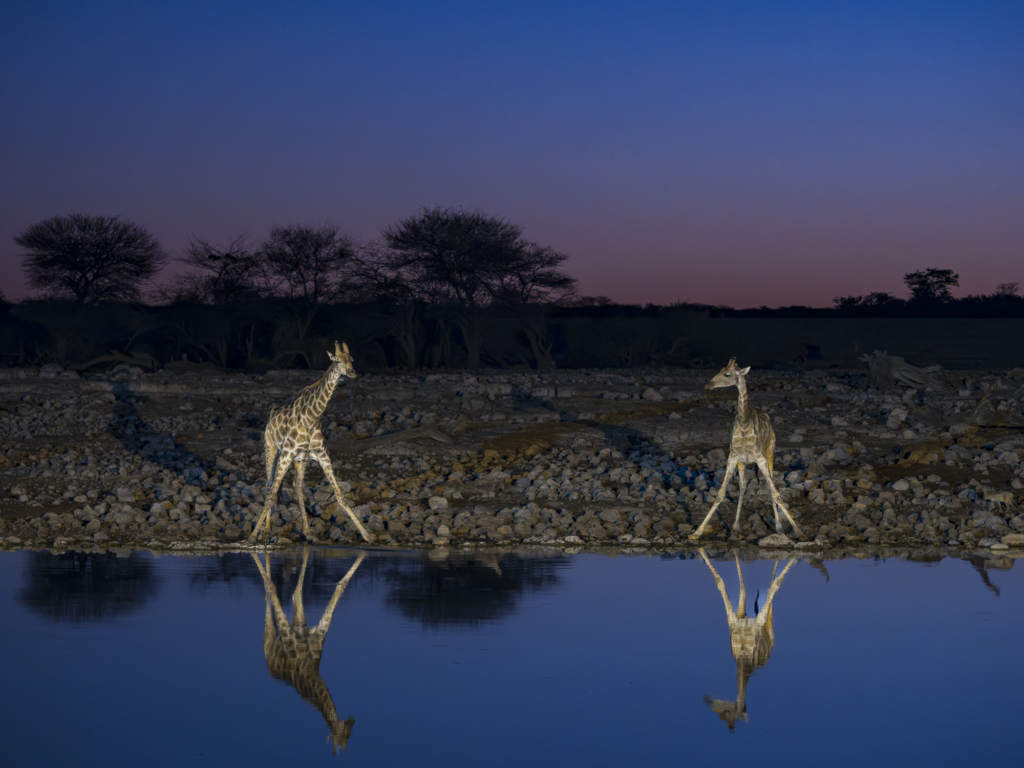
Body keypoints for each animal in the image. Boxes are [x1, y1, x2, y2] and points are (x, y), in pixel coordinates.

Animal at [248, 339, 374, 544]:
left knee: (297, 488)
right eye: (337, 361)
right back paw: (265, 532)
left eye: (351, 359)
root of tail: (272, 413)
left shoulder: (322, 456)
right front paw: (252, 536)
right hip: (271, 450)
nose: (352, 372)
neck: (312, 416)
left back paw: (307, 532)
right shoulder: (285, 455)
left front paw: (367, 535)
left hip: (300, 460)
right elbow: (272, 495)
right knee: (269, 488)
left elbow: (340, 495)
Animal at [249, 548, 366, 753]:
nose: (351, 721)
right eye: (342, 737)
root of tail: (270, 667)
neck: (311, 670)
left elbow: (336, 587)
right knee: (269, 596)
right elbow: (274, 587)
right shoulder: (288, 630)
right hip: (270, 639)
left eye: (349, 736)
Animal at [692, 360, 802, 540]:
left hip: (770, 452)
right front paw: (697, 532)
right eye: (720, 370)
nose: (708, 385)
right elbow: (721, 493)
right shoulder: (733, 457)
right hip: (742, 462)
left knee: (770, 485)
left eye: (727, 374)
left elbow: (776, 493)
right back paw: (736, 527)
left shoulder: (760, 458)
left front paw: (798, 531)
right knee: (743, 485)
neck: (744, 423)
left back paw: (779, 528)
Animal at [700, 548, 794, 729]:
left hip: (767, 624)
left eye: (727, 713)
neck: (744, 656)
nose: (708, 700)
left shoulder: (758, 624)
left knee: (771, 588)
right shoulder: (736, 620)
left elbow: (775, 585)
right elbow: (730, 586)